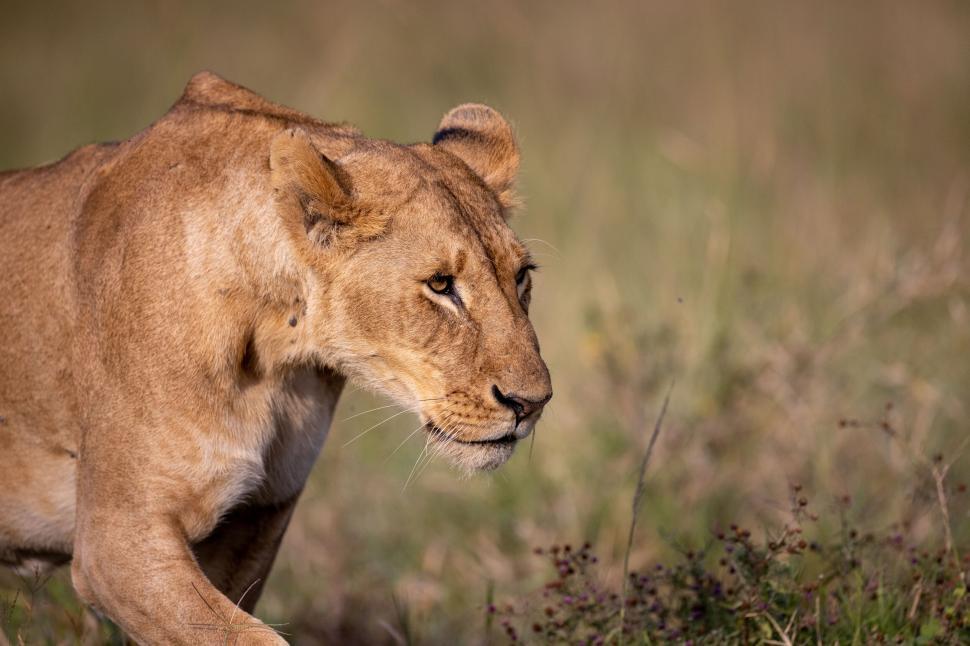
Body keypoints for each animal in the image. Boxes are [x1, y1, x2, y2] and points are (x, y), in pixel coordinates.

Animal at [0, 71, 551, 644]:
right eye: (441, 285)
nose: (533, 403)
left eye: (521, 276)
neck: (274, 353)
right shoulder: (114, 541)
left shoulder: (255, 520)